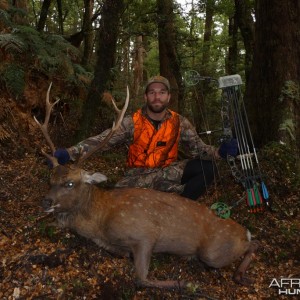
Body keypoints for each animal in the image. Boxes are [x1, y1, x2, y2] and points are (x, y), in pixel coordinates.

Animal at [35, 83, 260, 290]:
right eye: (50, 180)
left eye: (70, 183)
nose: (45, 201)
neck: (100, 221)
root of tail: (244, 231)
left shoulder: (145, 233)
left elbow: (142, 279)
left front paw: (187, 283)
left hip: (213, 251)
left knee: (252, 245)